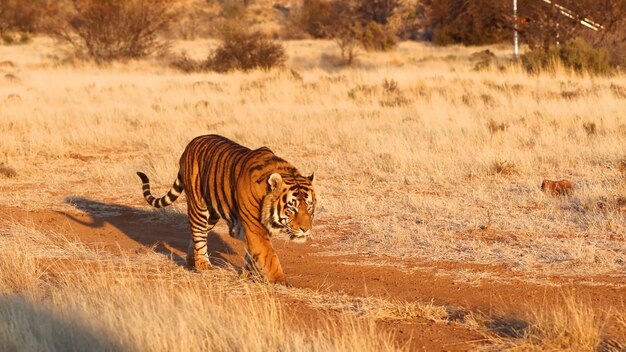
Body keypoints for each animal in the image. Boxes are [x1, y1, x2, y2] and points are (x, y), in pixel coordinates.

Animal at [135, 133, 314, 284]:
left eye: (309, 207)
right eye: (292, 208)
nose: (305, 229)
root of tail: (191, 143)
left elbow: (252, 254)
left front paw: (246, 275)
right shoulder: (255, 228)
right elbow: (268, 255)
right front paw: (280, 281)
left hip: (212, 214)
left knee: (196, 235)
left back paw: (191, 260)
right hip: (198, 206)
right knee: (198, 233)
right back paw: (203, 265)